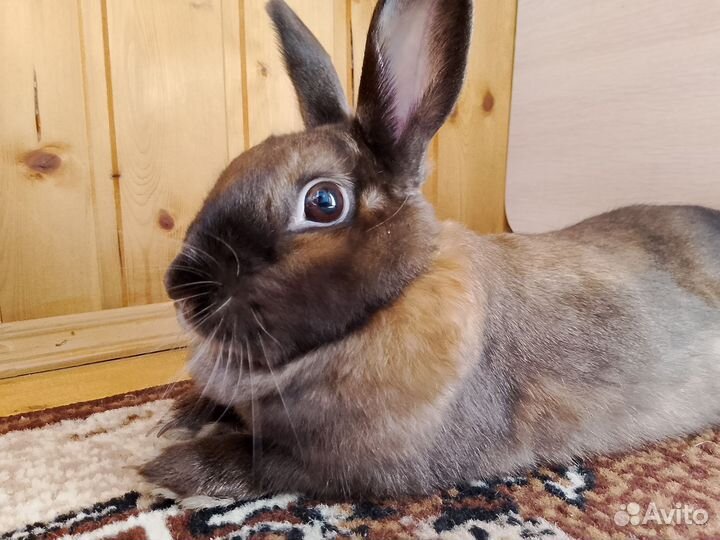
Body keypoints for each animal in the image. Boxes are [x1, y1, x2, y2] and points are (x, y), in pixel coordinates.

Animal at [141, 0, 720, 499]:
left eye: (323, 202)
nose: (179, 288)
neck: (388, 304)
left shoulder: (350, 466)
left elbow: (261, 461)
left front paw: (166, 465)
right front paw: (176, 419)